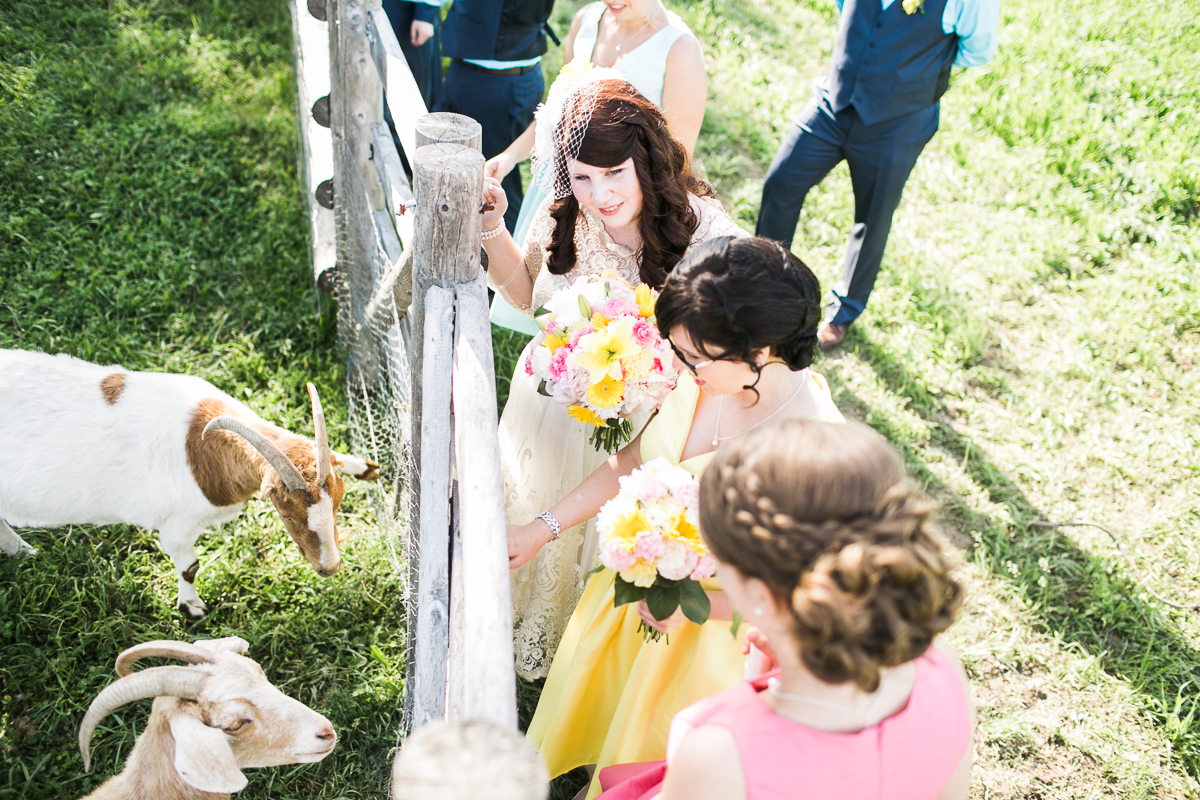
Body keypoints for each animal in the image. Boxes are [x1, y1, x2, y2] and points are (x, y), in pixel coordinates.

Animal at [0, 350, 379, 618]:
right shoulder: (176, 526)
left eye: (339, 504)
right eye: (286, 515)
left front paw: (364, 466)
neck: (198, 443)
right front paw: (192, 608)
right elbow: (190, 567)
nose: (328, 567)